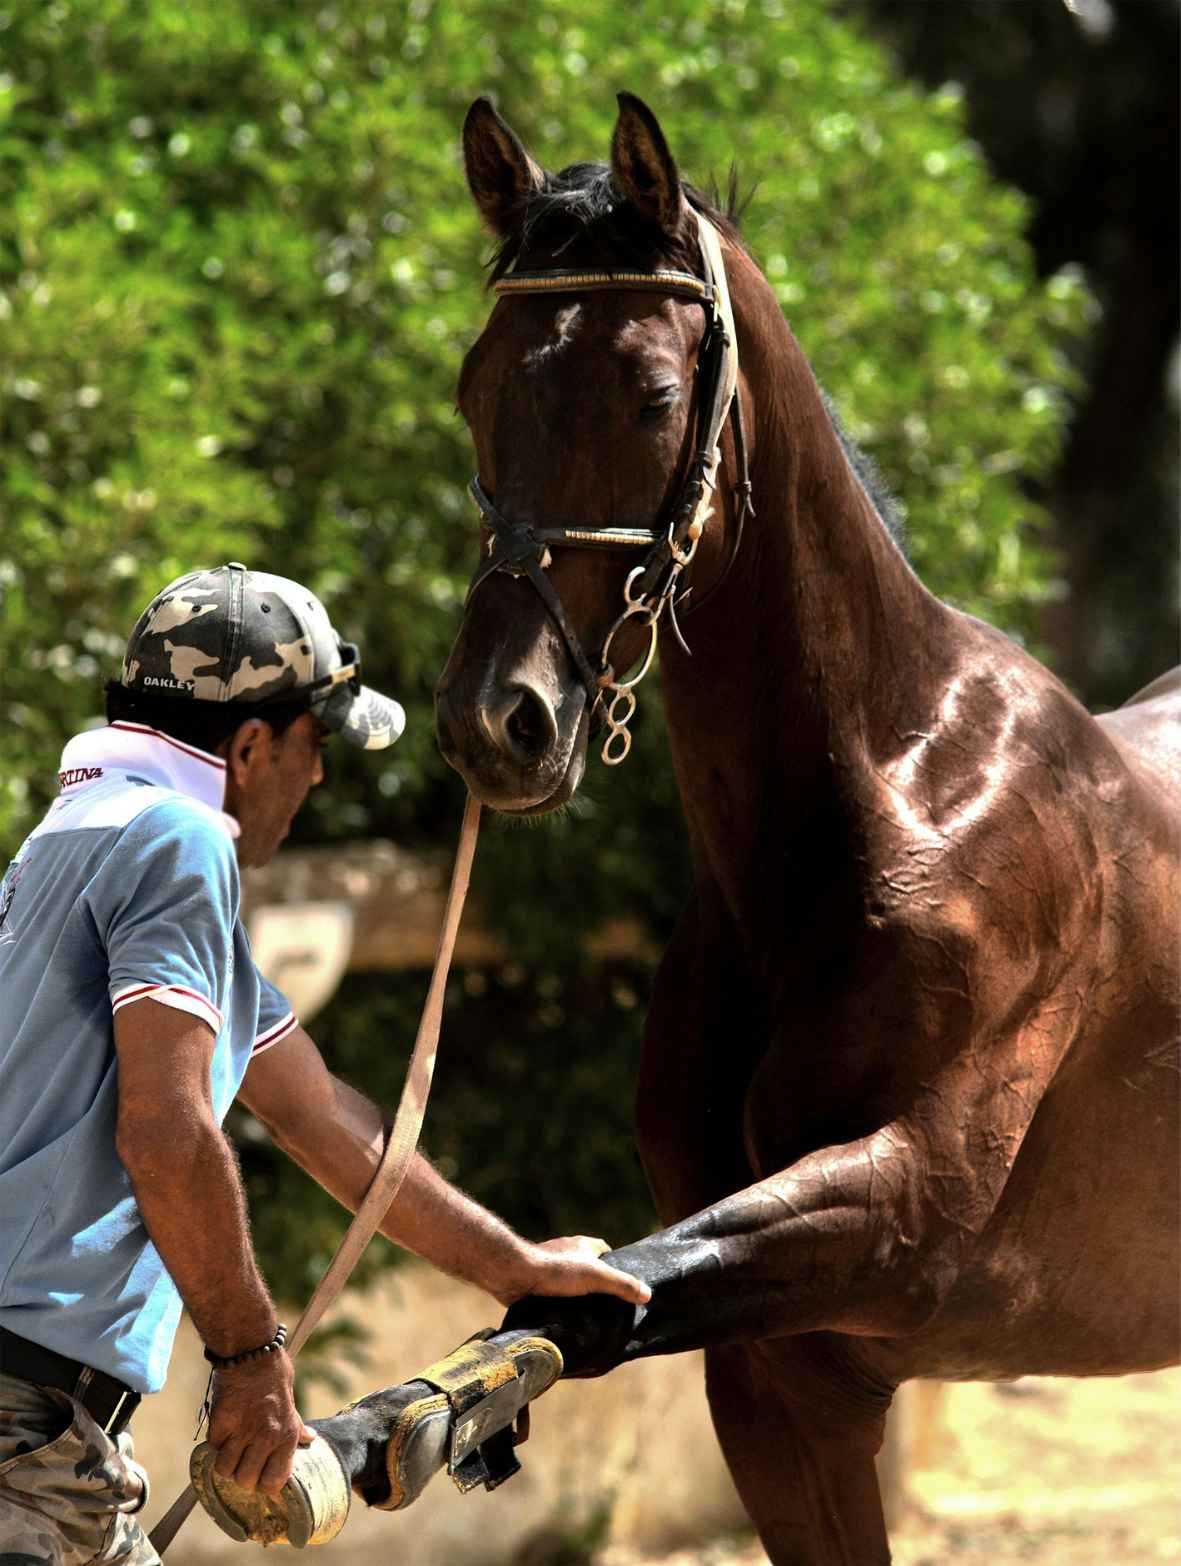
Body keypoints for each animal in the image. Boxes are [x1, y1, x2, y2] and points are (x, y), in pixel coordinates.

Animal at [192, 94, 1179, 1564]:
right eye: (475, 386)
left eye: (653, 395)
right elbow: (603, 1291)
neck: (880, 809)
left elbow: (599, 1295)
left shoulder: (907, 1216)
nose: (498, 720)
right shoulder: (782, 1388)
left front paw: (395, 1424)